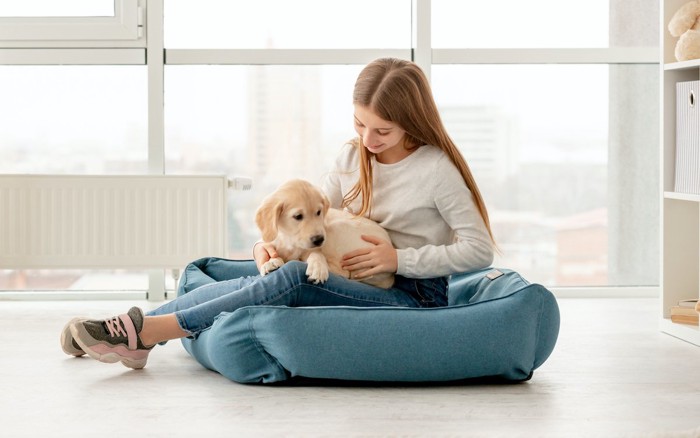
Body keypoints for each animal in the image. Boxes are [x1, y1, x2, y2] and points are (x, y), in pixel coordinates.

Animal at [254, 178, 394, 288]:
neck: (290, 241)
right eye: (298, 216)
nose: (319, 240)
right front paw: (270, 262)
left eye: (318, 212)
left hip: (336, 228)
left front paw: (318, 267)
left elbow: (316, 253)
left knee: (344, 272)